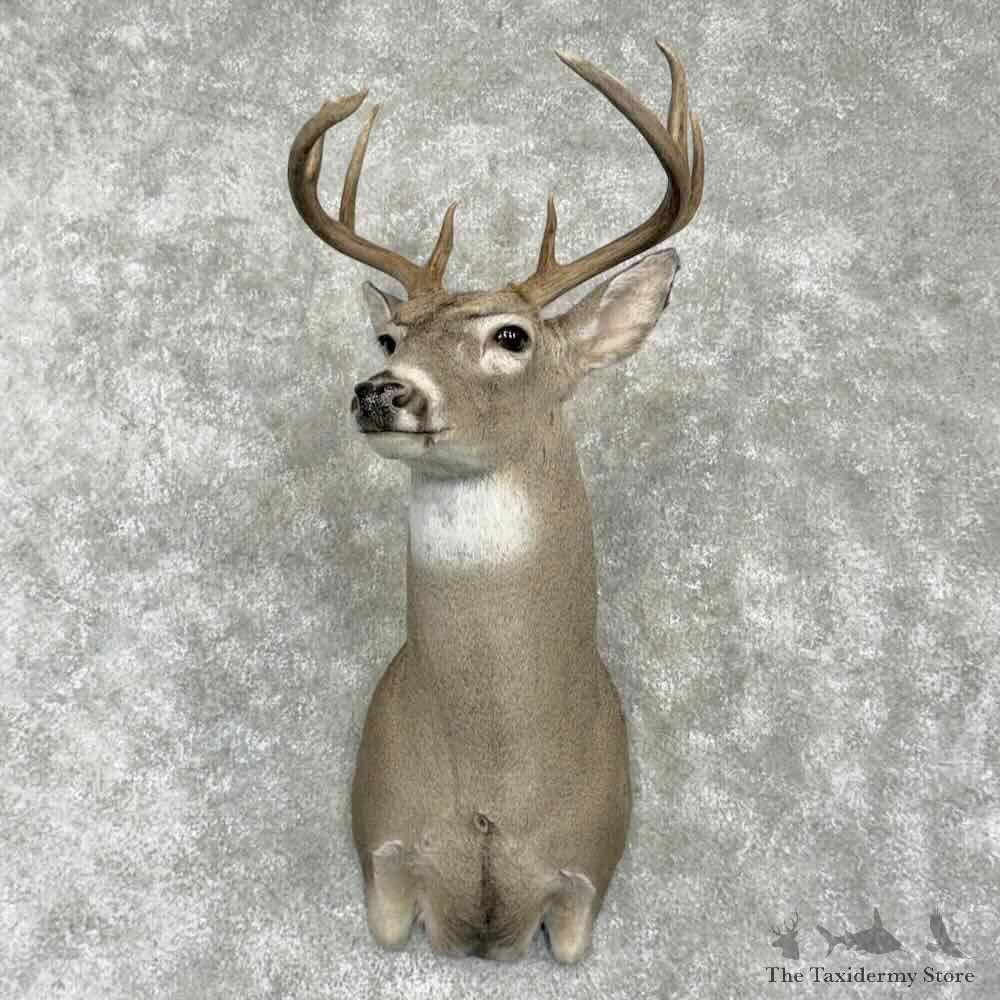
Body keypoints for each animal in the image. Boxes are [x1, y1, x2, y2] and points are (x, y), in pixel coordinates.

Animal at [287, 39, 704, 963]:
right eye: (388, 337)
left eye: (510, 336)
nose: (380, 390)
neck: (493, 788)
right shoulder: (382, 851)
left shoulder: (588, 874)